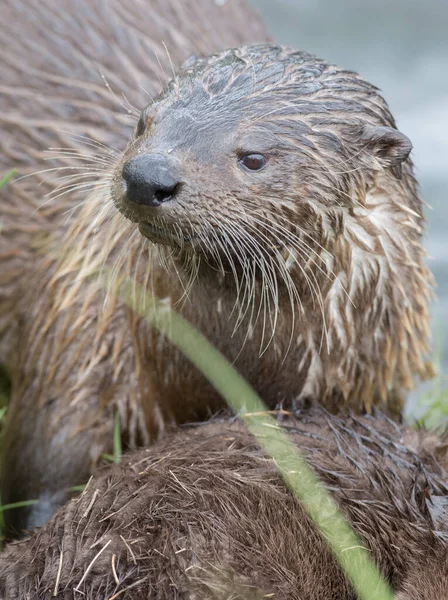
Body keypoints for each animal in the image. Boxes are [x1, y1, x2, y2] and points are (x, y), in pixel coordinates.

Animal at [0, 4, 434, 532]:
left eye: (254, 158)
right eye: (143, 122)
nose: (147, 175)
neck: (225, 358)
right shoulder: (77, 338)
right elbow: (42, 471)